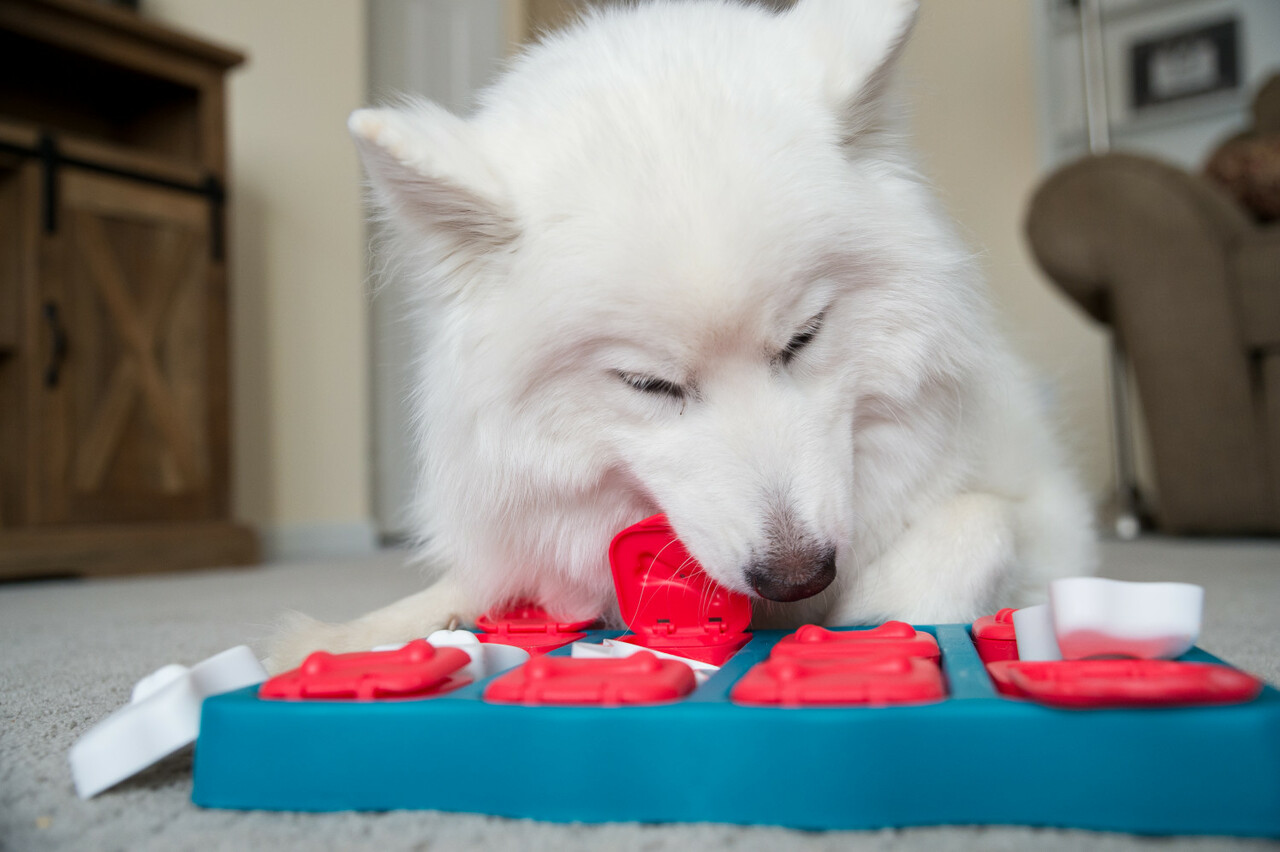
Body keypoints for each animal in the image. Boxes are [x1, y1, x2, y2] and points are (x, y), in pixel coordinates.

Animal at [264, 0, 1095, 665]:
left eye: (803, 338)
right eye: (649, 384)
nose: (798, 573)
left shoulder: (1046, 508)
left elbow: (979, 523)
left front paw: (877, 611)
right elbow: (460, 589)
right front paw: (335, 640)